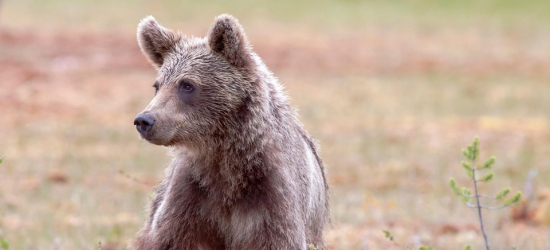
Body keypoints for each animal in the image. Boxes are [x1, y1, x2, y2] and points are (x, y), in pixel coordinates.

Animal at [131, 14, 330, 250]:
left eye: (187, 85)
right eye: (157, 85)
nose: (144, 120)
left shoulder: (273, 196)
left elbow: (278, 238)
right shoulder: (190, 196)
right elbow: (168, 238)